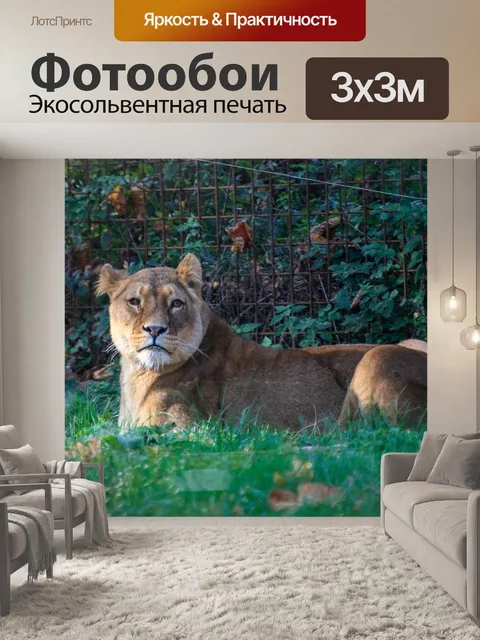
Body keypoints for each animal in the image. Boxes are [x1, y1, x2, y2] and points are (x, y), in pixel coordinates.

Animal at [97, 254, 427, 432]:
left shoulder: (191, 428)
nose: (155, 329)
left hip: (378, 358)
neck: (139, 373)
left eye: (176, 303)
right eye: (134, 302)